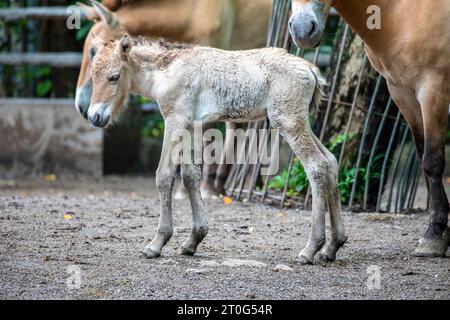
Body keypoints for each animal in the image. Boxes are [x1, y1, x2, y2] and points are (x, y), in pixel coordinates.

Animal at [88, 35, 348, 264]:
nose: (94, 116)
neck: (167, 69)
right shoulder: (191, 126)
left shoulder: (174, 120)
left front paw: (156, 244)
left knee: (316, 166)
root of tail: (310, 69)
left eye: (114, 76)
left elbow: (164, 176)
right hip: (300, 122)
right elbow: (191, 176)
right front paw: (193, 241)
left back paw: (310, 249)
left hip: (288, 122)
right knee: (330, 161)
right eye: (92, 76)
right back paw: (332, 247)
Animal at [290, 0, 448, 258]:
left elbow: (432, 162)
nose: (303, 30)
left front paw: (433, 239)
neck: (402, 12)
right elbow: (422, 158)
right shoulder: (403, 94)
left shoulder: (432, 88)